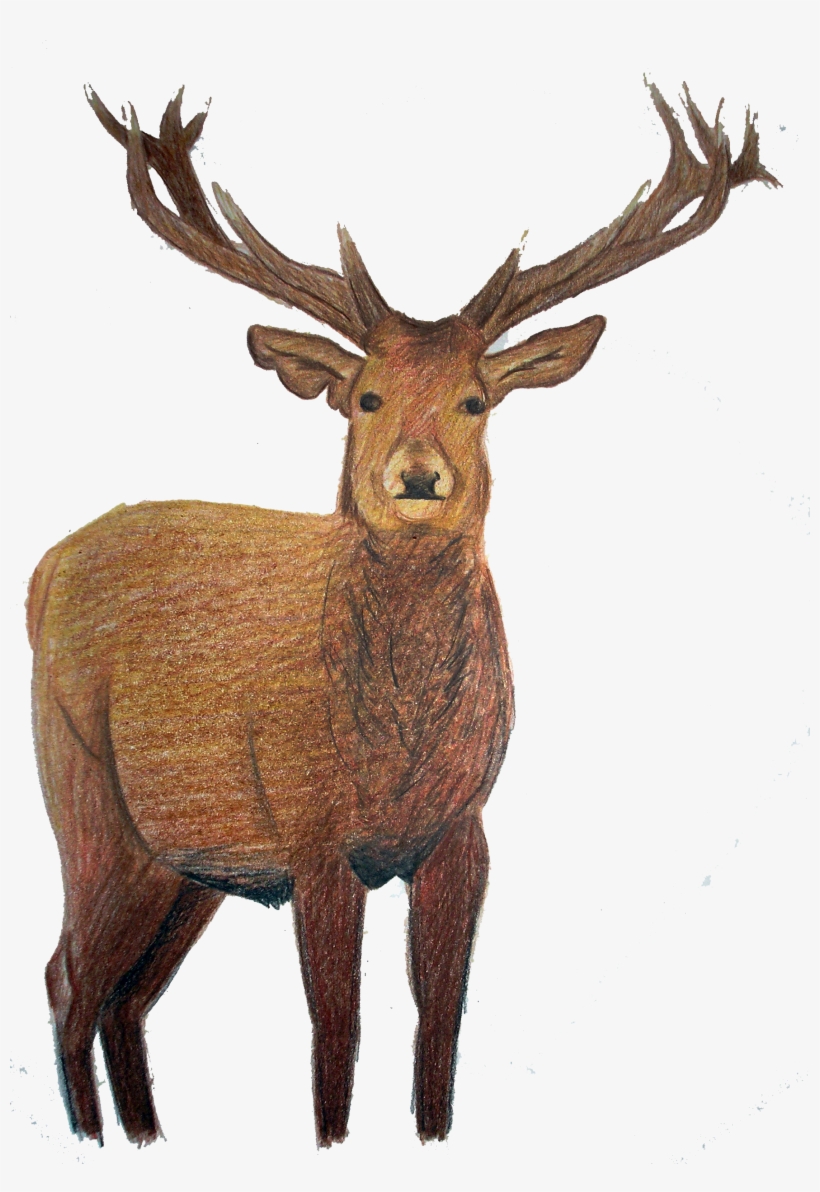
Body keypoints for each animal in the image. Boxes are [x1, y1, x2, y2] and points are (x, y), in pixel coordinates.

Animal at [27, 81, 777, 1149]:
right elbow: (335, 1026)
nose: (417, 478)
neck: (394, 751)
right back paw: (96, 1135)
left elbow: (441, 1019)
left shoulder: (464, 828)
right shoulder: (310, 831)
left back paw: (144, 1138)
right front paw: (332, 1139)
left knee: (126, 997)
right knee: (68, 977)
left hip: (190, 863)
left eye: (476, 399)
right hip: (88, 796)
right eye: (366, 397)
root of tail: (43, 571)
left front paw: (431, 1132)